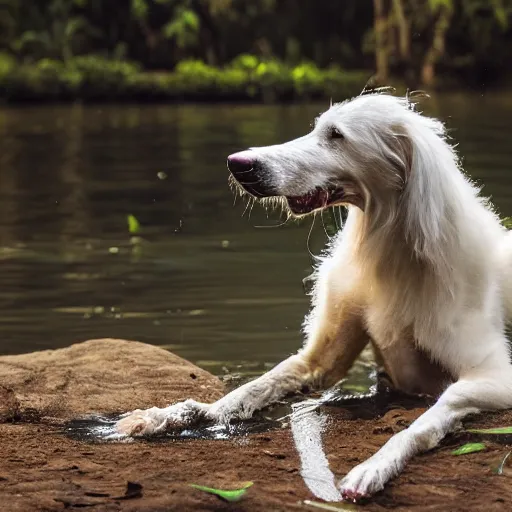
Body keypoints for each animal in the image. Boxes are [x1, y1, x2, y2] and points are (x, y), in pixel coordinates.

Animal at [116, 92, 512, 500]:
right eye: (318, 127)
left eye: (336, 135)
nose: (237, 164)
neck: (392, 246)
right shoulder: (318, 362)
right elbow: (251, 388)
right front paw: (173, 414)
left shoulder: (496, 378)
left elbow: (425, 421)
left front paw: (374, 466)